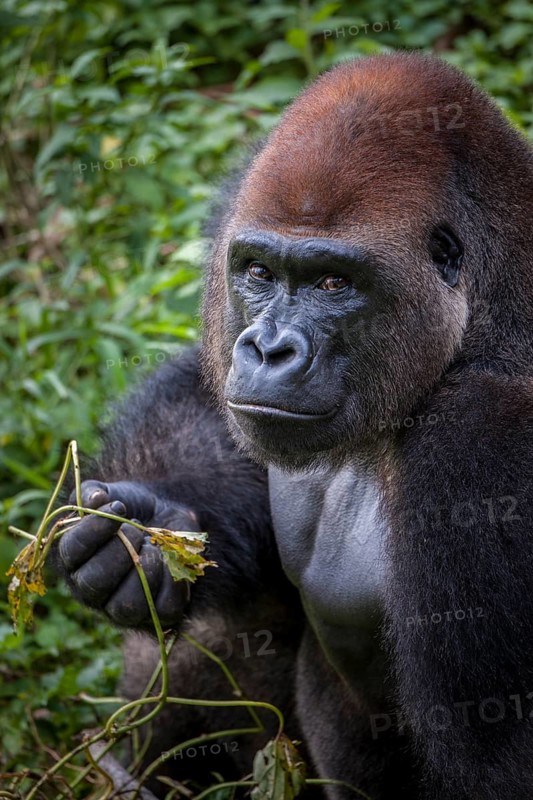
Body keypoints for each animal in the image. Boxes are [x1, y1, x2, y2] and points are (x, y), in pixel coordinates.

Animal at [55, 52, 533, 799]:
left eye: (333, 283)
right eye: (257, 271)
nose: (268, 348)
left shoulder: (487, 436)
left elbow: (500, 753)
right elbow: (211, 402)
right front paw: (144, 536)